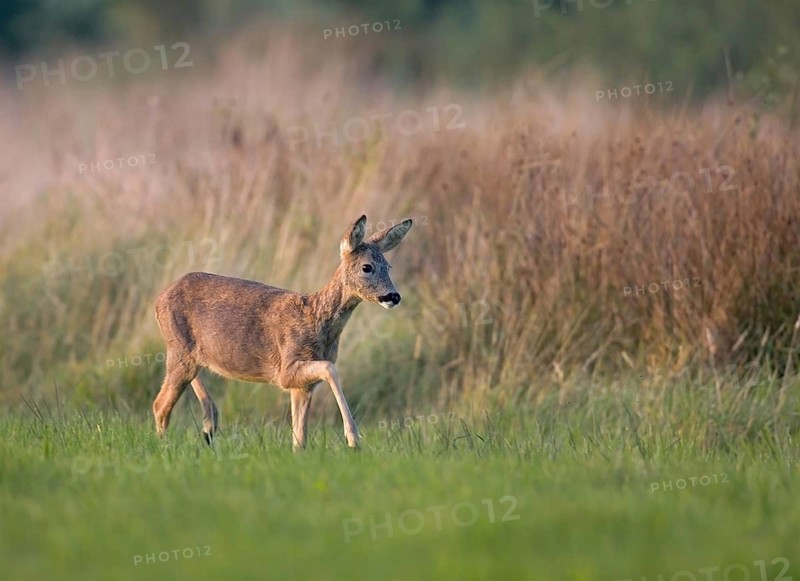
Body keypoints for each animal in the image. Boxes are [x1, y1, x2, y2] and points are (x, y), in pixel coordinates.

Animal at [151, 215, 412, 450]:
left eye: (388, 267)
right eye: (367, 267)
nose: (393, 296)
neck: (316, 320)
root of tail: (159, 299)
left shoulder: (302, 387)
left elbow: (299, 437)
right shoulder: (286, 369)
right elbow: (331, 369)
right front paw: (353, 440)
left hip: (188, 355)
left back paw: (207, 429)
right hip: (180, 352)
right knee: (159, 405)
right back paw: (165, 448)